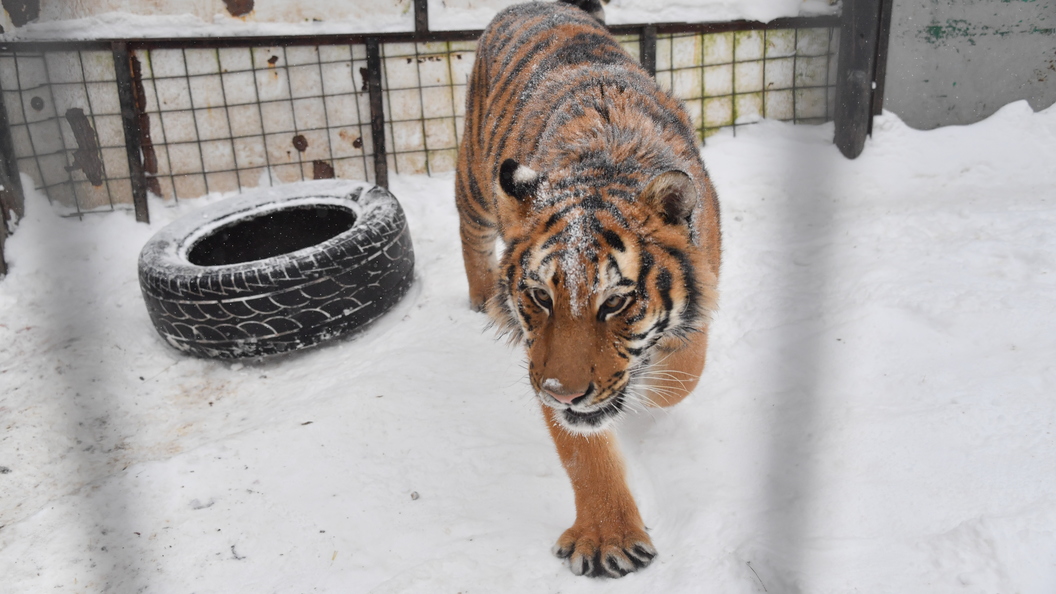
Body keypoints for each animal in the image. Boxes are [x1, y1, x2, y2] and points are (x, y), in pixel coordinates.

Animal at [449, 0, 722, 574]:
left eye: (615, 302)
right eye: (540, 296)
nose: (562, 391)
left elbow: (682, 376)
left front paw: (648, 392)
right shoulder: (542, 361)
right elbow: (582, 450)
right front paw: (608, 539)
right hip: (476, 182)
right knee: (469, 231)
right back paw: (482, 299)